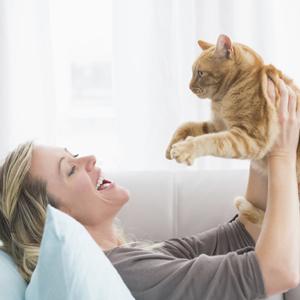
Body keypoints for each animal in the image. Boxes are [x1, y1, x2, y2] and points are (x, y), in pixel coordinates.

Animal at [165, 34, 300, 224]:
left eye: (200, 73)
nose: (189, 87)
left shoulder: (249, 139)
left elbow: (209, 140)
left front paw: (185, 148)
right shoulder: (218, 125)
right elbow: (187, 125)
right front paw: (172, 145)